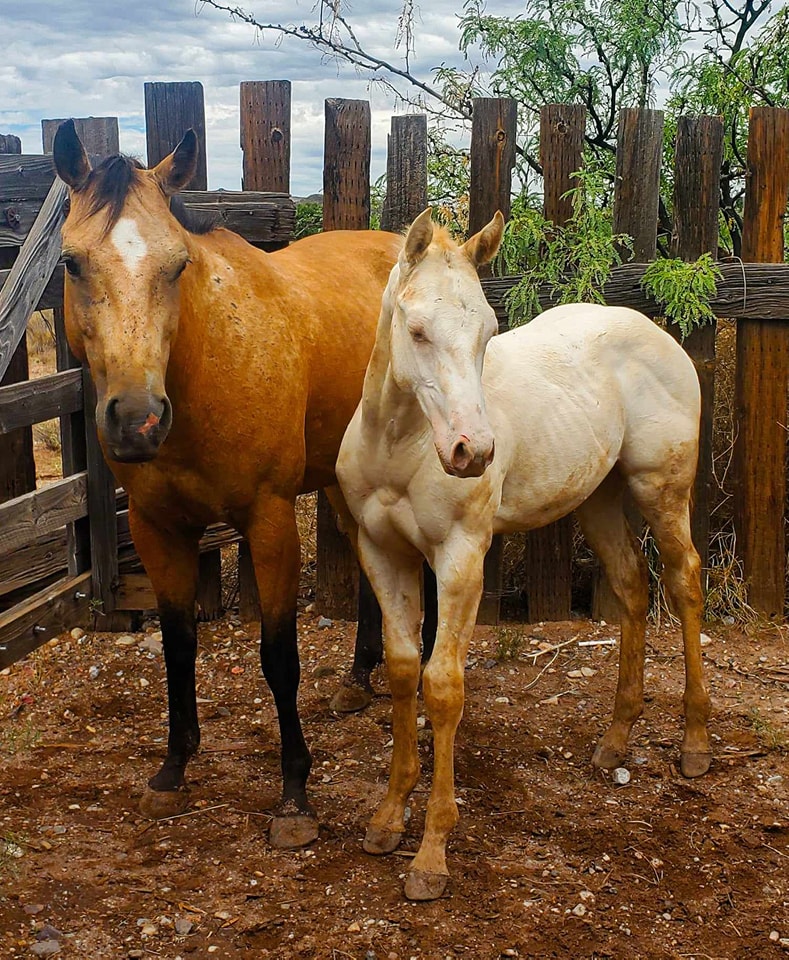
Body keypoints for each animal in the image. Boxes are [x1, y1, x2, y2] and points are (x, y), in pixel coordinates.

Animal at [52, 119, 412, 848]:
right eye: (73, 263)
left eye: (177, 265)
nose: (137, 420)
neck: (210, 360)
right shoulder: (157, 529)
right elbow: (177, 644)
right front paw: (172, 767)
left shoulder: (268, 522)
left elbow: (278, 657)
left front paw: (294, 795)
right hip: (343, 479)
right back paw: (360, 677)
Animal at [336, 208, 712, 900]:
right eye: (417, 329)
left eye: (488, 330)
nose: (473, 452)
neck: (401, 445)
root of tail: (655, 331)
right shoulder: (380, 552)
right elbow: (403, 673)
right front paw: (387, 818)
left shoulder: (461, 557)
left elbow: (443, 687)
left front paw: (431, 854)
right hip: (599, 498)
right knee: (632, 587)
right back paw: (616, 739)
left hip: (661, 488)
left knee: (684, 583)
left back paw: (695, 742)